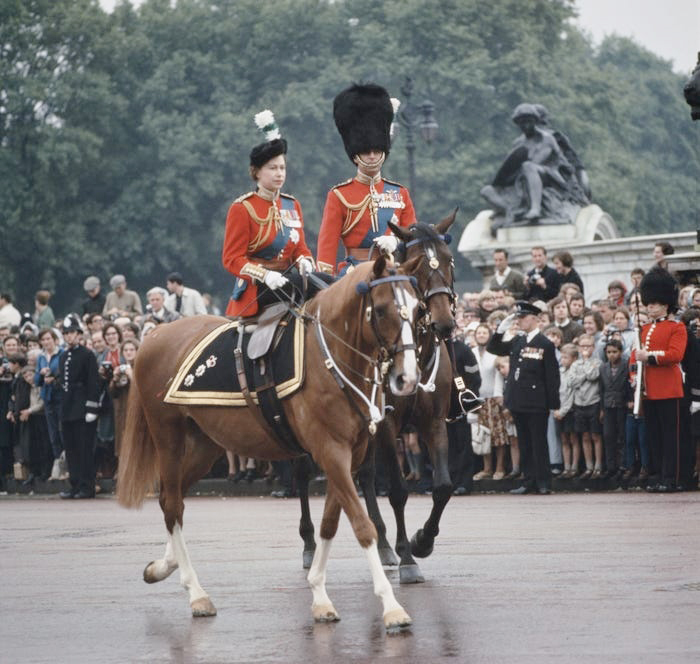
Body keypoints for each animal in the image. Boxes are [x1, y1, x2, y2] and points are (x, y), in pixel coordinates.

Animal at [116, 256, 422, 632]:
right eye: (380, 309)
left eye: (418, 308)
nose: (407, 378)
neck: (330, 359)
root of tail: (154, 336)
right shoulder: (331, 452)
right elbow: (362, 526)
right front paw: (391, 606)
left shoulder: (349, 456)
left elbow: (330, 523)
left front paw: (320, 597)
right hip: (168, 437)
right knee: (172, 504)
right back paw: (196, 593)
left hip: (205, 445)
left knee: (171, 500)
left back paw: (163, 566)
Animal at [296, 211, 460, 580]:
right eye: (419, 268)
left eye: (449, 261)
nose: (444, 323)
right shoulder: (386, 424)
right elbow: (398, 491)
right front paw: (408, 557)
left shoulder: (434, 422)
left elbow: (443, 486)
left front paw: (422, 541)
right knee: (304, 474)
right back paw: (310, 544)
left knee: (365, 475)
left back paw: (382, 545)